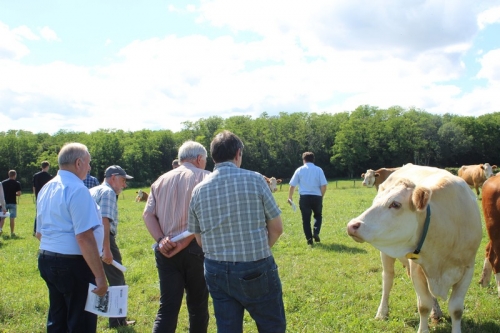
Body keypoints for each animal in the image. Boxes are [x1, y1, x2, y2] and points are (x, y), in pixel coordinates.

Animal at [348, 163, 480, 332]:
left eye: (395, 204)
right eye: (375, 202)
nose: (352, 225)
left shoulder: (468, 268)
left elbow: (456, 309)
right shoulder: (417, 267)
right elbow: (423, 305)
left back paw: (436, 312)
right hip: (387, 255)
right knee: (388, 278)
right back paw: (382, 312)